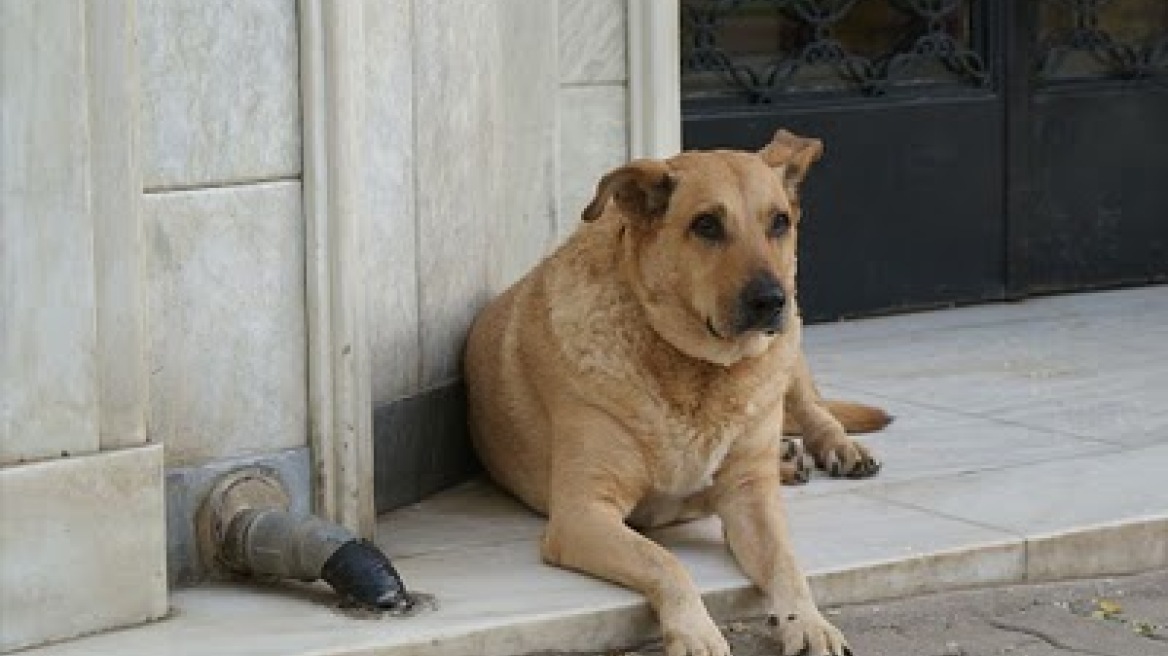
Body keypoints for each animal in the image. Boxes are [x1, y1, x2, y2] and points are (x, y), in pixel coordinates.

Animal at [462, 130, 883, 648]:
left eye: (779, 222)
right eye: (707, 225)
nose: (770, 300)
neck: (698, 369)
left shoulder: (750, 500)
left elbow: (787, 563)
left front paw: (808, 621)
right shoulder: (582, 515)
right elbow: (664, 561)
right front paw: (695, 630)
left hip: (792, 343)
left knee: (811, 406)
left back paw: (835, 447)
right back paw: (788, 460)